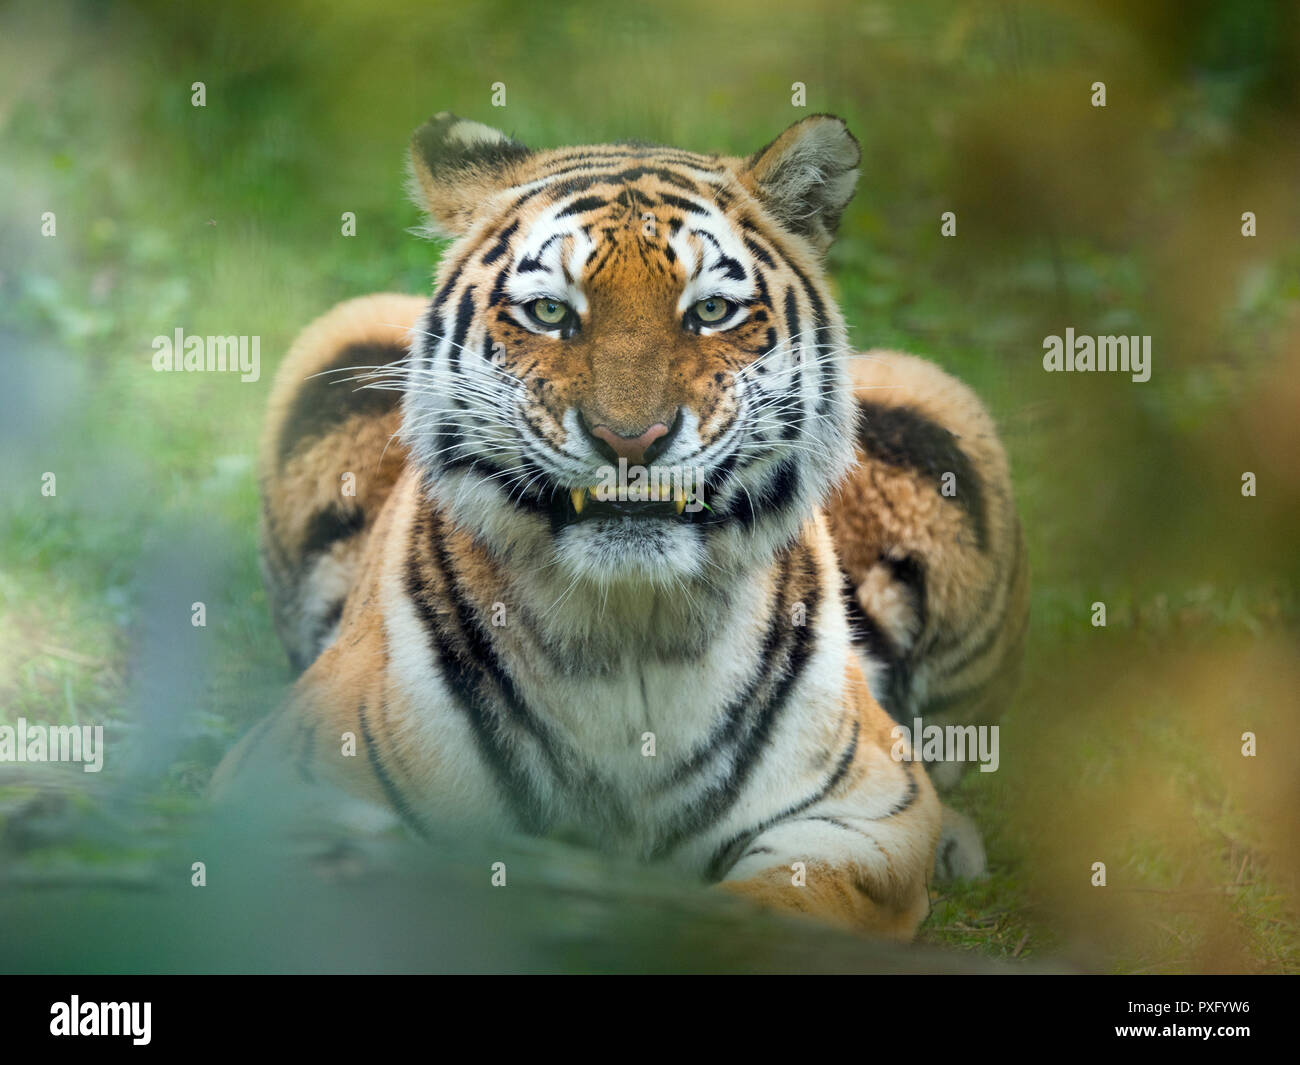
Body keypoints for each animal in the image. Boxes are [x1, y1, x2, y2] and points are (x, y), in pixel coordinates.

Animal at [213, 112, 1029, 940]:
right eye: (550, 312)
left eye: (711, 311)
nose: (631, 440)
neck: (630, 630)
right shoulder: (288, 783)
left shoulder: (863, 813)